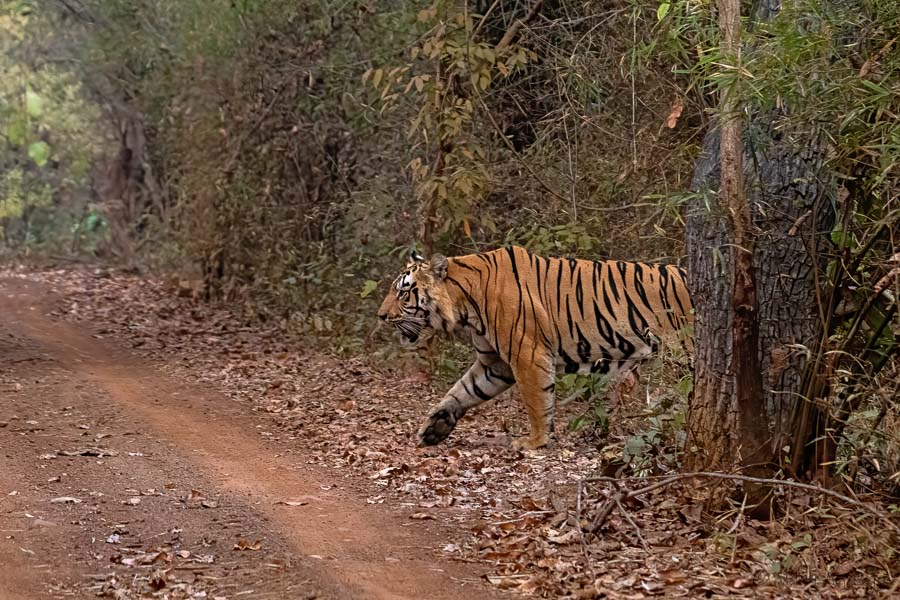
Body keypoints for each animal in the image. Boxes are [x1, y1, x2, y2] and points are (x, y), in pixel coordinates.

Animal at [376, 245, 692, 450]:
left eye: (403, 292)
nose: (380, 316)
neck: (466, 304)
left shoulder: (527, 354)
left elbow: (536, 401)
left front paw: (534, 442)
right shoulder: (495, 364)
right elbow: (461, 391)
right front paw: (434, 427)